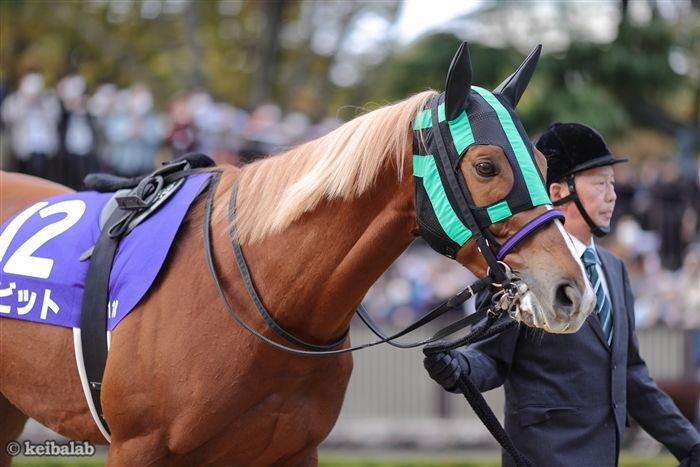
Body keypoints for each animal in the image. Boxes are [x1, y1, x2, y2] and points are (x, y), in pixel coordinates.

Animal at [0, 43, 595, 466]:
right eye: (487, 166)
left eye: (544, 164)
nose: (572, 293)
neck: (260, 299)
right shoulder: (138, 447)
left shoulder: (291, 450)